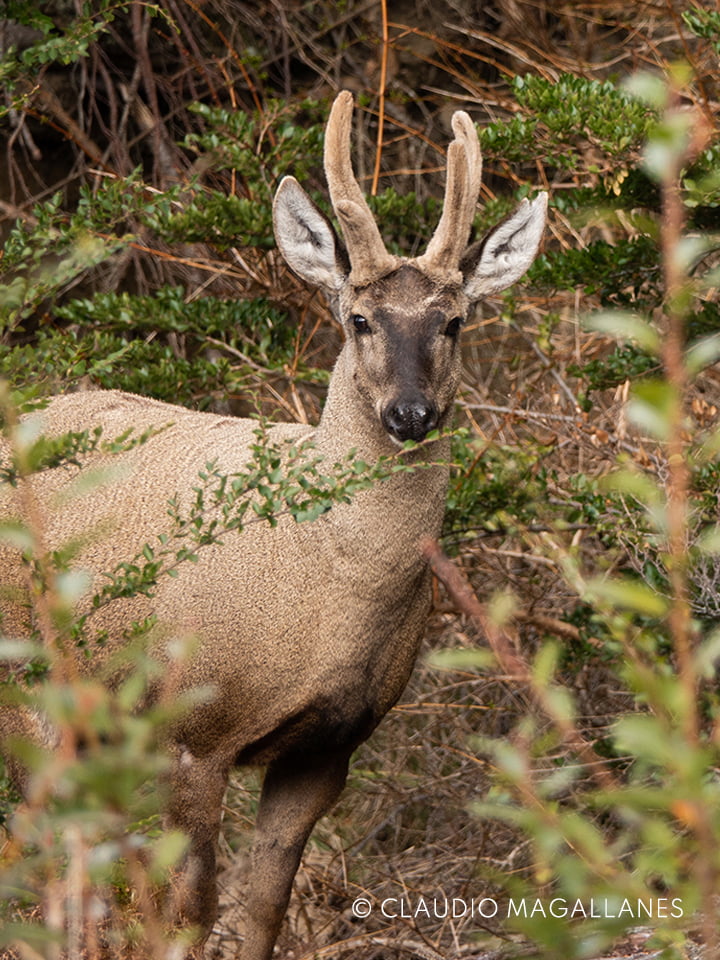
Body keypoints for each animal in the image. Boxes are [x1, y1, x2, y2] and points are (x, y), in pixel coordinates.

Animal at [0, 92, 544, 960]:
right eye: (359, 318)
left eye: (455, 322)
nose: (411, 414)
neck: (325, 578)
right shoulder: (195, 727)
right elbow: (187, 912)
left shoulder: (329, 747)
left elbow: (261, 910)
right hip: (27, 674)